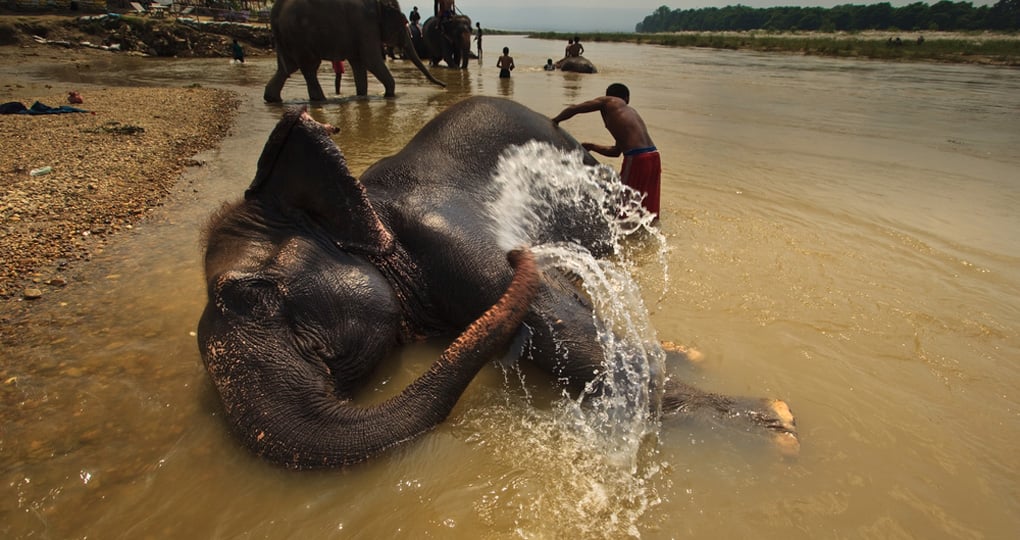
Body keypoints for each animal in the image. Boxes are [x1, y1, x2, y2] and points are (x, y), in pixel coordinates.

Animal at [264, 0, 446, 102]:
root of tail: (274, 13)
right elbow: (371, 60)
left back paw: (272, 99)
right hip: (298, 36)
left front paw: (362, 96)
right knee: (309, 67)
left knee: (287, 68)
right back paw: (320, 99)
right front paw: (389, 95)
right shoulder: (365, 24)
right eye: (403, 22)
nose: (444, 86)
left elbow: (359, 64)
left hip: (289, 39)